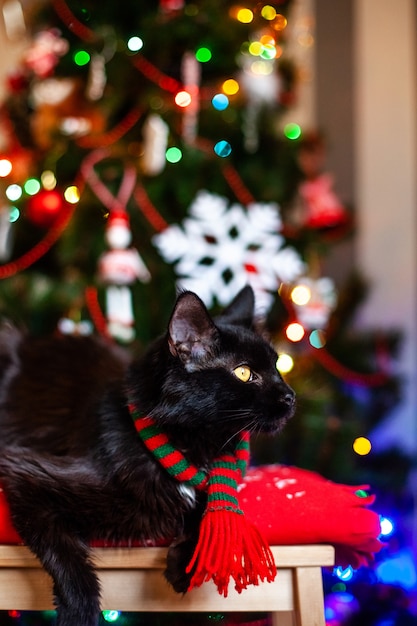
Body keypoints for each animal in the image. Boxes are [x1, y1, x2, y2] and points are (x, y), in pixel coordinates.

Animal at [0, 286, 294, 620]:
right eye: (244, 373)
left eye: (278, 367)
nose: (290, 396)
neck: (193, 449)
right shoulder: (25, 473)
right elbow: (68, 557)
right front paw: (81, 611)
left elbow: (208, 510)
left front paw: (184, 565)